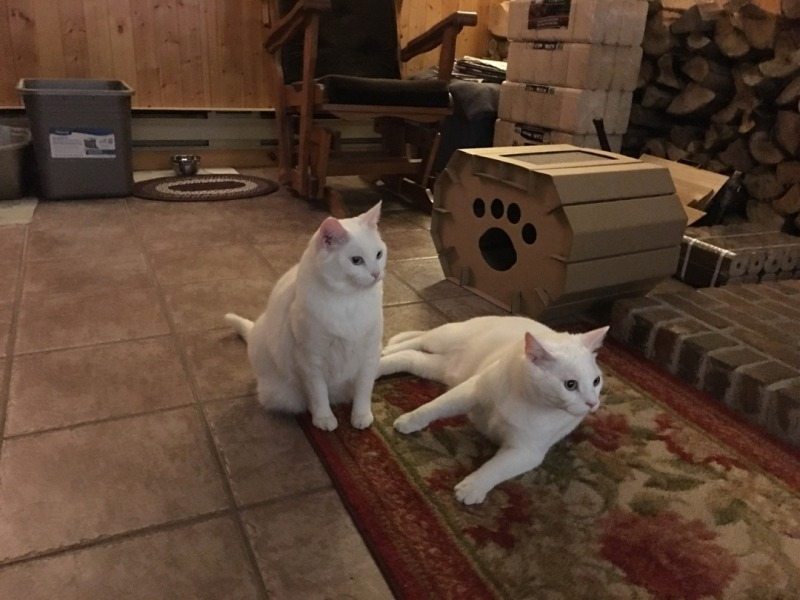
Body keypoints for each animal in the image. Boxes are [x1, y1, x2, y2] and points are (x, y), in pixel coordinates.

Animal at [225, 204, 388, 428]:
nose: (376, 274)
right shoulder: (311, 360)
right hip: (285, 395)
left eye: (379, 254)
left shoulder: (370, 354)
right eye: (356, 260)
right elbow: (319, 394)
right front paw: (324, 419)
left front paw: (361, 416)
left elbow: (364, 390)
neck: (349, 301)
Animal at [378, 316, 608, 504]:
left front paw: (473, 487)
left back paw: (380, 363)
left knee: (409, 356)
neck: (526, 398)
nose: (592, 403)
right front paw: (410, 420)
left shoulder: (525, 451)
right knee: (418, 340)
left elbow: (496, 468)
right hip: (445, 338)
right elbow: (434, 407)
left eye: (596, 381)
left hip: (437, 367)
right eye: (570, 385)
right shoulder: (470, 391)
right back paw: (384, 350)